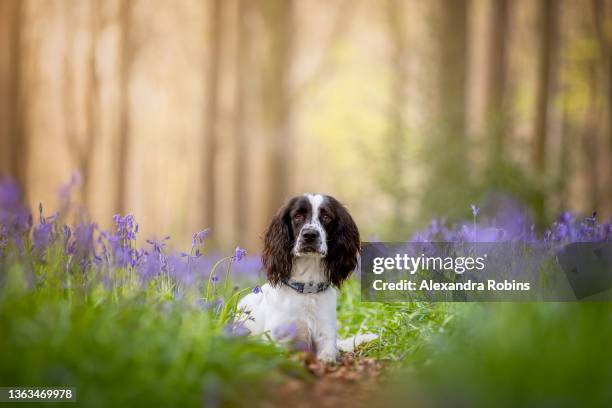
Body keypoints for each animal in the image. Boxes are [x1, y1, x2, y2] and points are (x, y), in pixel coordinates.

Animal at [239, 193, 378, 362]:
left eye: (326, 217)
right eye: (298, 216)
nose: (310, 235)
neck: (307, 289)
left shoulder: (326, 336)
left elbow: (328, 355)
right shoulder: (275, 340)